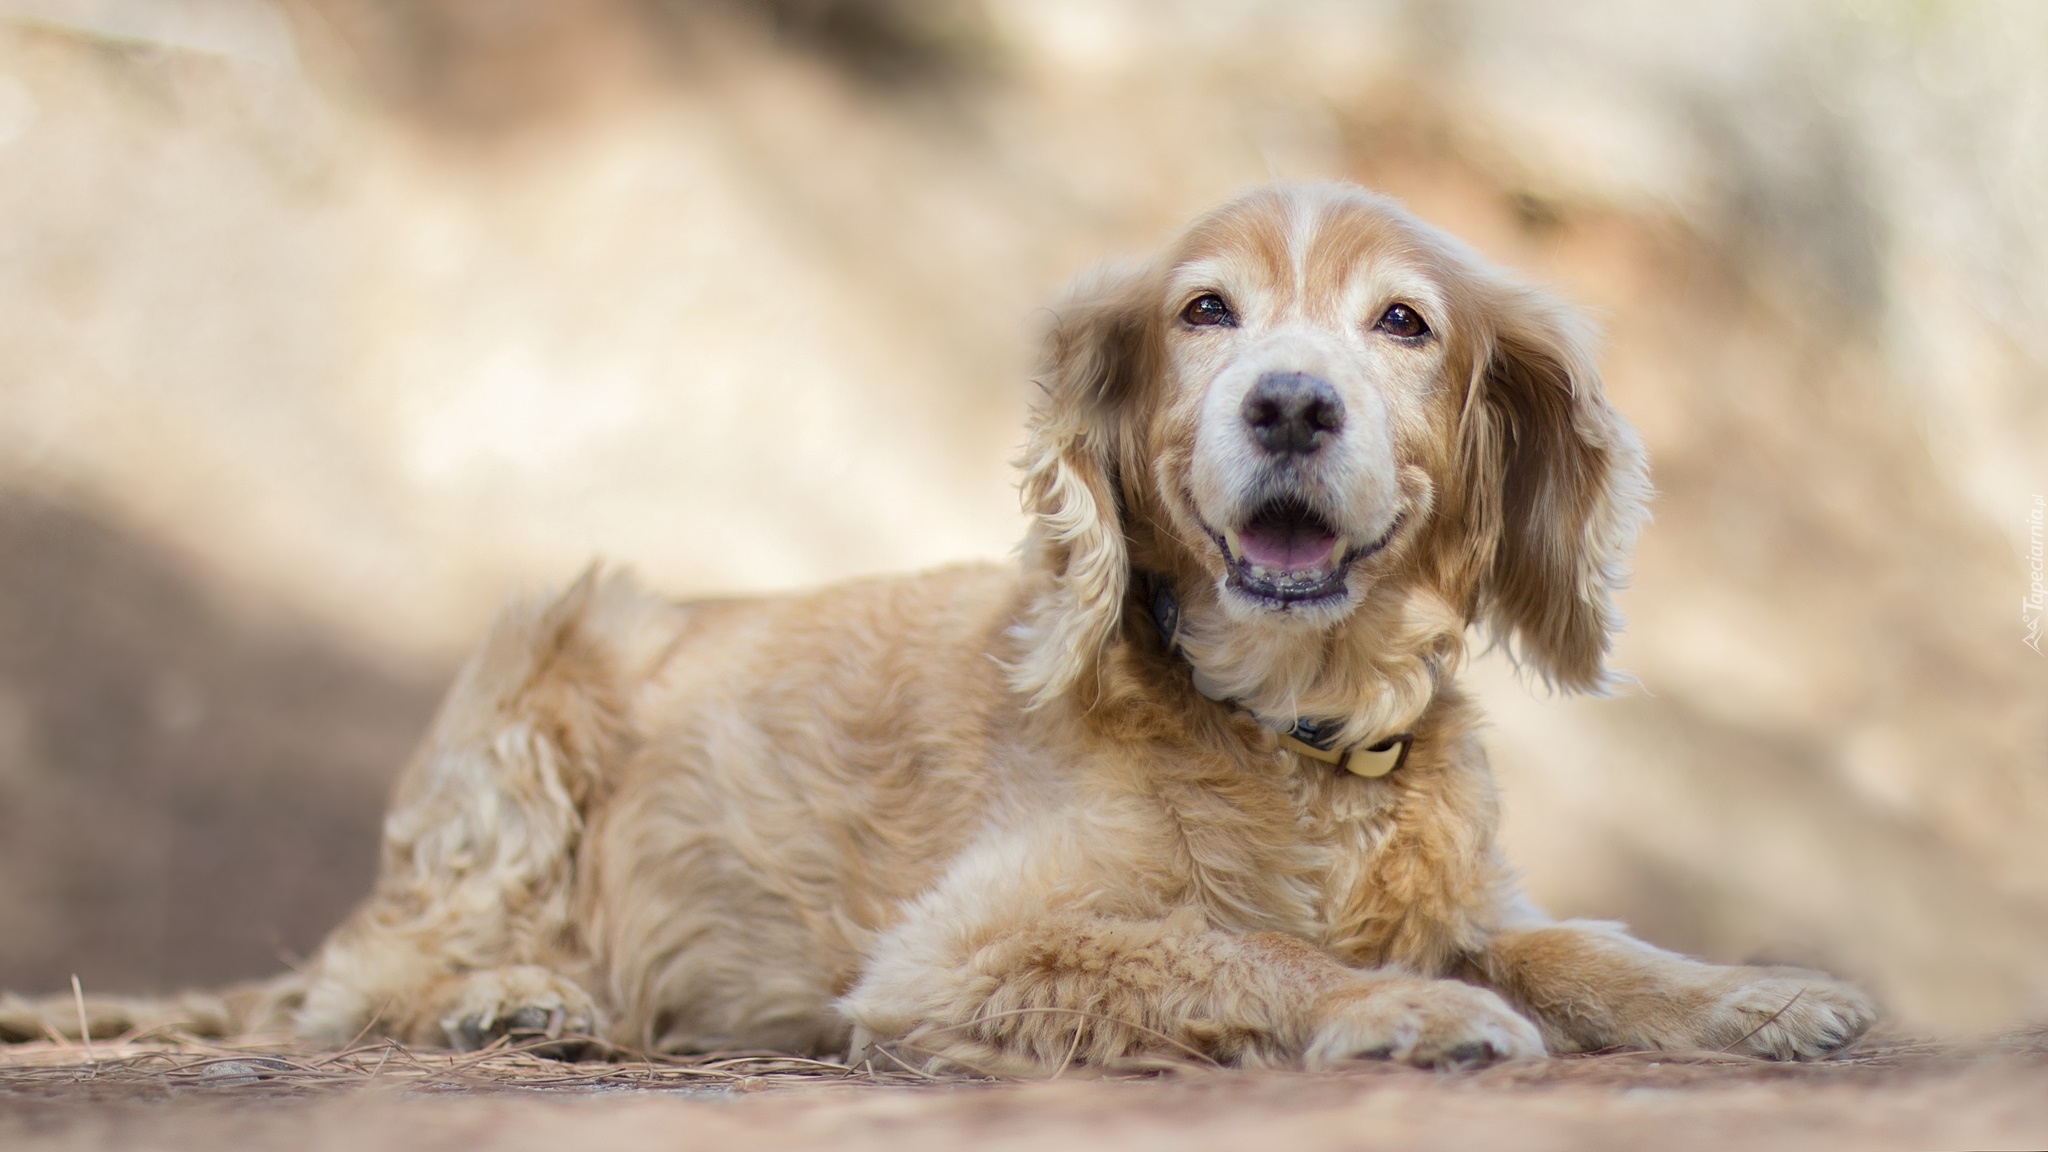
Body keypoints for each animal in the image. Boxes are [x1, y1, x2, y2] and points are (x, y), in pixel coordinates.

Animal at [272, 179, 1875, 1065]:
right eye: (1206, 311)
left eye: (1403, 323)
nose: (1290, 404)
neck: (1293, 731)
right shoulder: (962, 947)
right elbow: (1236, 949)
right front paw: (1406, 1012)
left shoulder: (1475, 901)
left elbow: (1585, 952)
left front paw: (1757, 998)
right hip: (549, 658)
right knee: (353, 972)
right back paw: (510, 997)